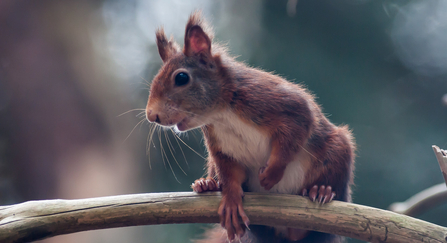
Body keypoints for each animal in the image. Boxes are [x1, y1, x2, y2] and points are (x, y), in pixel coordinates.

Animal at [147, 12, 356, 243]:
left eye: (181, 77)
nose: (151, 115)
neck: (221, 114)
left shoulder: (281, 105)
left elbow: (292, 136)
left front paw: (272, 173)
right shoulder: (222, 148)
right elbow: (230, 175)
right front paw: (230, 201)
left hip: (338, 152)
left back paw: (321, 191)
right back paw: (207, 184)